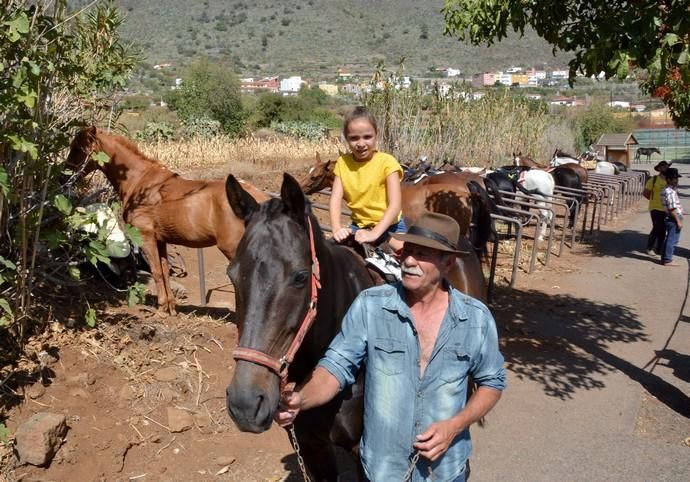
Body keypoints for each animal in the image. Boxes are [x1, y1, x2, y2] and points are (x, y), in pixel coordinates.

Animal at [64, 126, 268, 314]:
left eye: (78, 148)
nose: (64, 175)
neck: (140, 183)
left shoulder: (146, 237)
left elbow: (155, 271)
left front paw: (161, 307)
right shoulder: (161, 240)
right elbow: (164, 270)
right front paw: (171, 307)